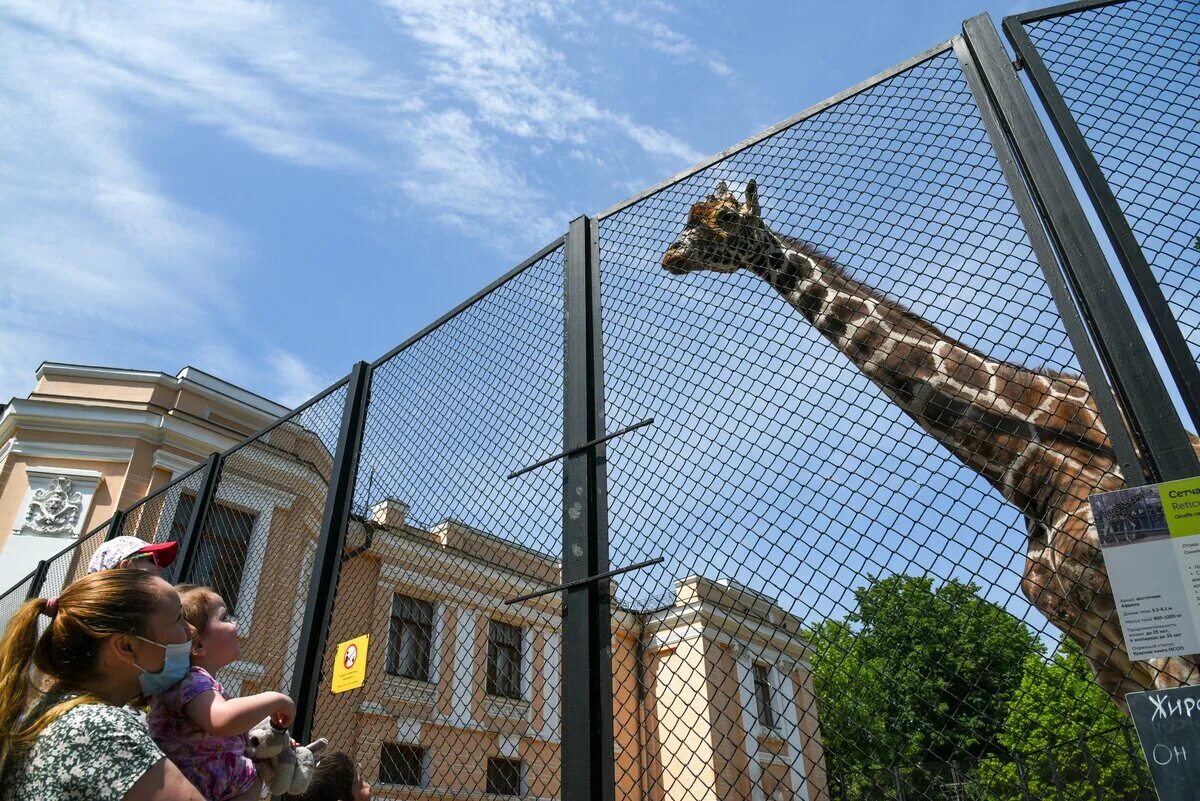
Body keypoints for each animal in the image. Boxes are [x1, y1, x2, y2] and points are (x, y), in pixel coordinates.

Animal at [662, 179, 1200, 705]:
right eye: (689, 218)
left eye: (726, 217)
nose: (671, 255)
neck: (1024, 470)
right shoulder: (1102, 651)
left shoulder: (1158, 626)